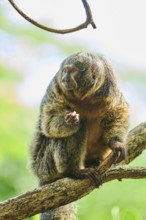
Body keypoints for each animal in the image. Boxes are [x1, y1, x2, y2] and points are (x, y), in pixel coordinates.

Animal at [29, 52, 129, 220]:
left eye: (72, 71)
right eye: (65, 71)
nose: (65, 78)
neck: (86, 97)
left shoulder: (110, 89)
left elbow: (118, 112)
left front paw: (116, 143)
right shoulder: (55, 87)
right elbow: (48, 123)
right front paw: (69, 122)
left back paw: (94, 162)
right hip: (45, 165)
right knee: (80, 127)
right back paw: (73, 171)